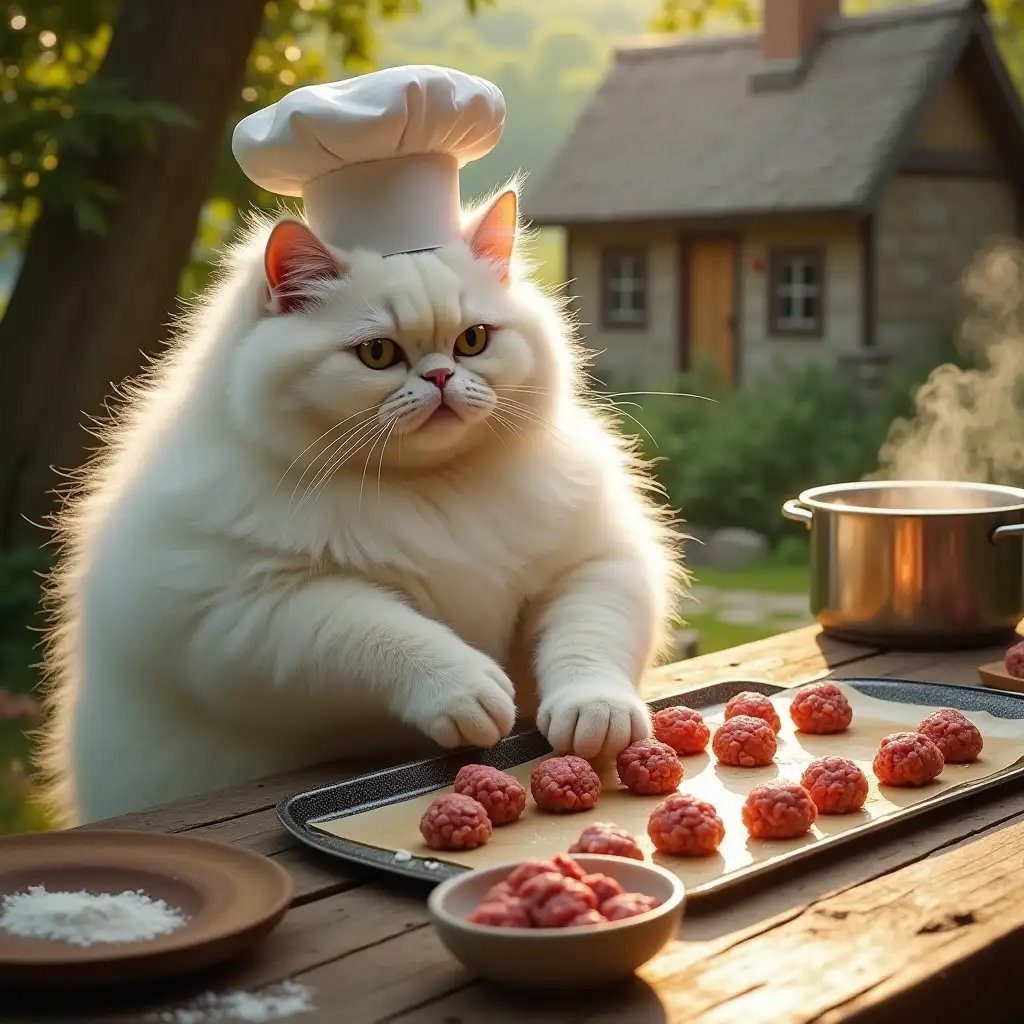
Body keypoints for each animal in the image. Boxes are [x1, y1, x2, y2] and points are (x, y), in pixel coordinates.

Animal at [39, 186, 684, 823]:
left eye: (473, 340)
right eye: (377, 353)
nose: (441, 376)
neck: (433, 490)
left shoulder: (597, 562)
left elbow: (587, 641)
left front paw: (596, 715)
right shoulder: (255, 613)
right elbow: (386, 635)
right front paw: (470, 693)